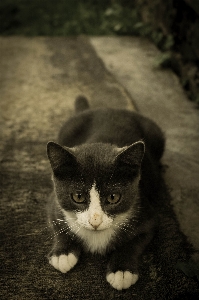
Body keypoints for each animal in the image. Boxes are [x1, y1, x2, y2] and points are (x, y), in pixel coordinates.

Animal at [46, 95, 165, 290]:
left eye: (113, 197)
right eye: (78, 196)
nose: (95, 221)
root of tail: (107, 108)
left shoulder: (147, 214)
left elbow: (135, 242)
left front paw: (122, 271)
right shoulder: (53, 202)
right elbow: (57, 226)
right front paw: (62, 254)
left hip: (156, 133)